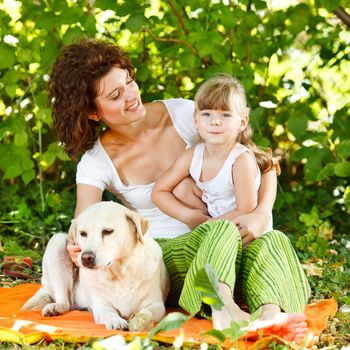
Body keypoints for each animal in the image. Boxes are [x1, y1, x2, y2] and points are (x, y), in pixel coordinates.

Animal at [21, 202, 170, 330]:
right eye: (83, 233)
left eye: (108, 231)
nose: (86, 257)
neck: (119, 272)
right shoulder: (101, 305)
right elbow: (109, 313)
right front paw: (116, 321)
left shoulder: (157, 305)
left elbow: (146, 313)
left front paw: (138, 321)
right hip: (56, 242)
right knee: (65, 302)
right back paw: (55, 307)